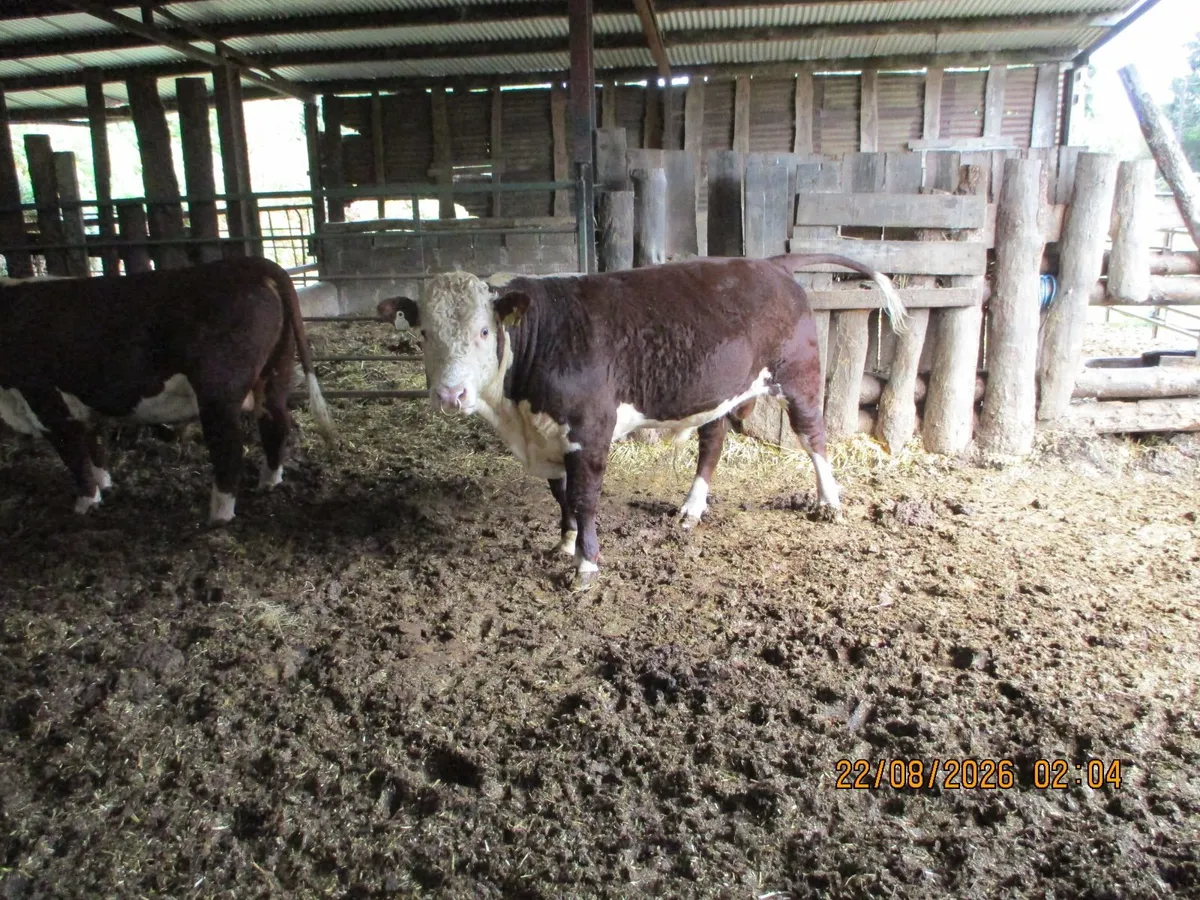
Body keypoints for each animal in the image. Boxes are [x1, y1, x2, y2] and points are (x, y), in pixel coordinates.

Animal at [0, 257, 335, 522]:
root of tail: (249, 263)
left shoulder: (45, 401)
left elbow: (74, 457)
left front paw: (86, 503)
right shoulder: (80, 409)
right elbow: (93, 450)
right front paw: (105, 485)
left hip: (218, 391)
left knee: (228, 447)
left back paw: (219, 515)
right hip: (275, 371)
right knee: (275, 422)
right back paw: (268, 482)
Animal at [393, 253, 905, 590]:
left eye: (484, 331)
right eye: (425, 333)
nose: (450, 395)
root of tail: (769, 262)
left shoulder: (590, 432)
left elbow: (584, 498)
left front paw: (586, 565)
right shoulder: (549, 434)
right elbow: (561, 495)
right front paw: (565, 541)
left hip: (798, 376)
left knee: (814, 437)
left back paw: (829, 501)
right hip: (719, 392)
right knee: (713, 442)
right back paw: (693, 507)